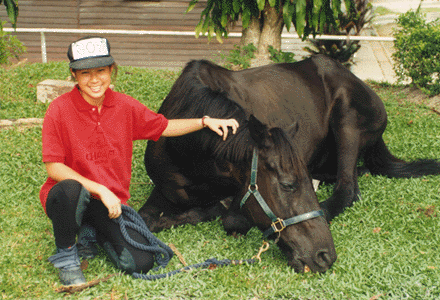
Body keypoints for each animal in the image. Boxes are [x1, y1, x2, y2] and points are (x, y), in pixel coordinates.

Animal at [139, 55, 440, 274]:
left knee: (347, 188)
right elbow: (146, 219)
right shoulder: (164, 191)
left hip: (347, 121)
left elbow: (230, 218)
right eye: (287, 185)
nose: (325, 255)